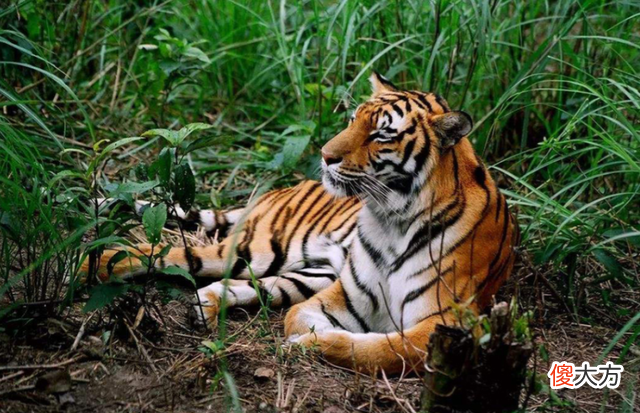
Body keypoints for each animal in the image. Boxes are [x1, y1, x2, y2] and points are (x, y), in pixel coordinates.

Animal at [82, 72, 519, 374]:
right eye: (353, 119)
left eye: (381, 134)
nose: (325, 156)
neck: (391, 219)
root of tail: (278, 191)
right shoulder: (345, 295)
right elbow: (303, 320)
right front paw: (308, 339)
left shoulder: (445, 322)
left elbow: (379, 349)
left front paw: (316, 345)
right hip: (258, 249)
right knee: (166, 253)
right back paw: (94, 263)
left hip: (308, 269)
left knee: (249, 283)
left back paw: (204, 303)